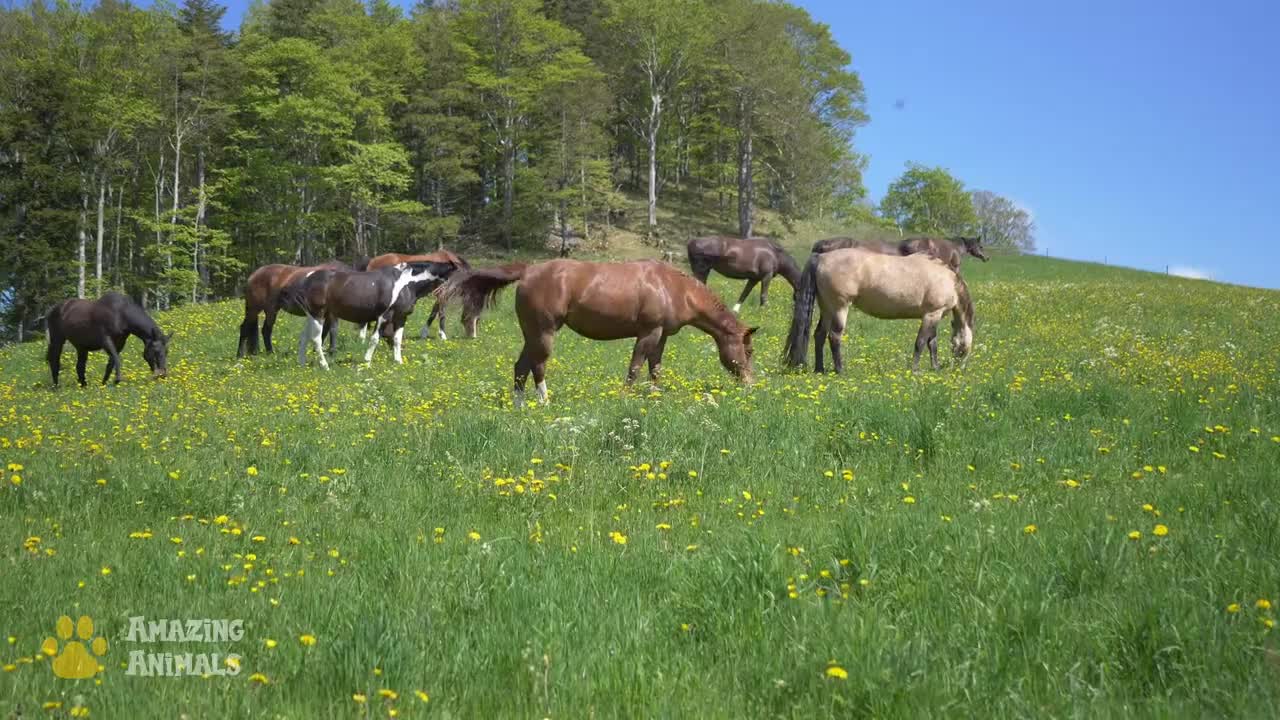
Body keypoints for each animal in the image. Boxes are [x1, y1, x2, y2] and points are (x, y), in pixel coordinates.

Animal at [282, 260, 458, 366]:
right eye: (453, 275)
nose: (449, 296)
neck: (406, 283)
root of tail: (307, 278)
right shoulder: (383, 316)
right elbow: (374, 339)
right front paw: (367, 361)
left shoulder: (401, 318)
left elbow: (397, 339)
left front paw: (398, 361)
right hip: (318, 315)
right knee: (316, 339)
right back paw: (325, 365)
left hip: (311, 316)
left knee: (304, 337)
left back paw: (302, 363)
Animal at [442, 257, 752, 404]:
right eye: (749, 350)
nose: (751, 383)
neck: (672, 287)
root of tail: (528, 271)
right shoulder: (648, 333)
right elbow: (635, 367)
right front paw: (625, 396)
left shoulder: (661, 336)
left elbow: (655, 368)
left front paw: (654, 395)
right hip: (544, 333)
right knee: (539, 366)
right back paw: (544, 401)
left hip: (531, 334)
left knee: (521, 367)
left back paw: (520, 405)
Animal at [778, 245, 977, 371]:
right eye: (964, 348)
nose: (959, 369)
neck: (948, 280)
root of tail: (821, 257)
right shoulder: (931, 315)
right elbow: (921, 343)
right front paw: (915, 370)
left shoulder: (933, 316)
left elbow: (932, 343)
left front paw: (934, 368)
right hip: (840, 307)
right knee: (834, 336)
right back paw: (840, 370)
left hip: (827, 307)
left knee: (819, 335)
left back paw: (820, 369)